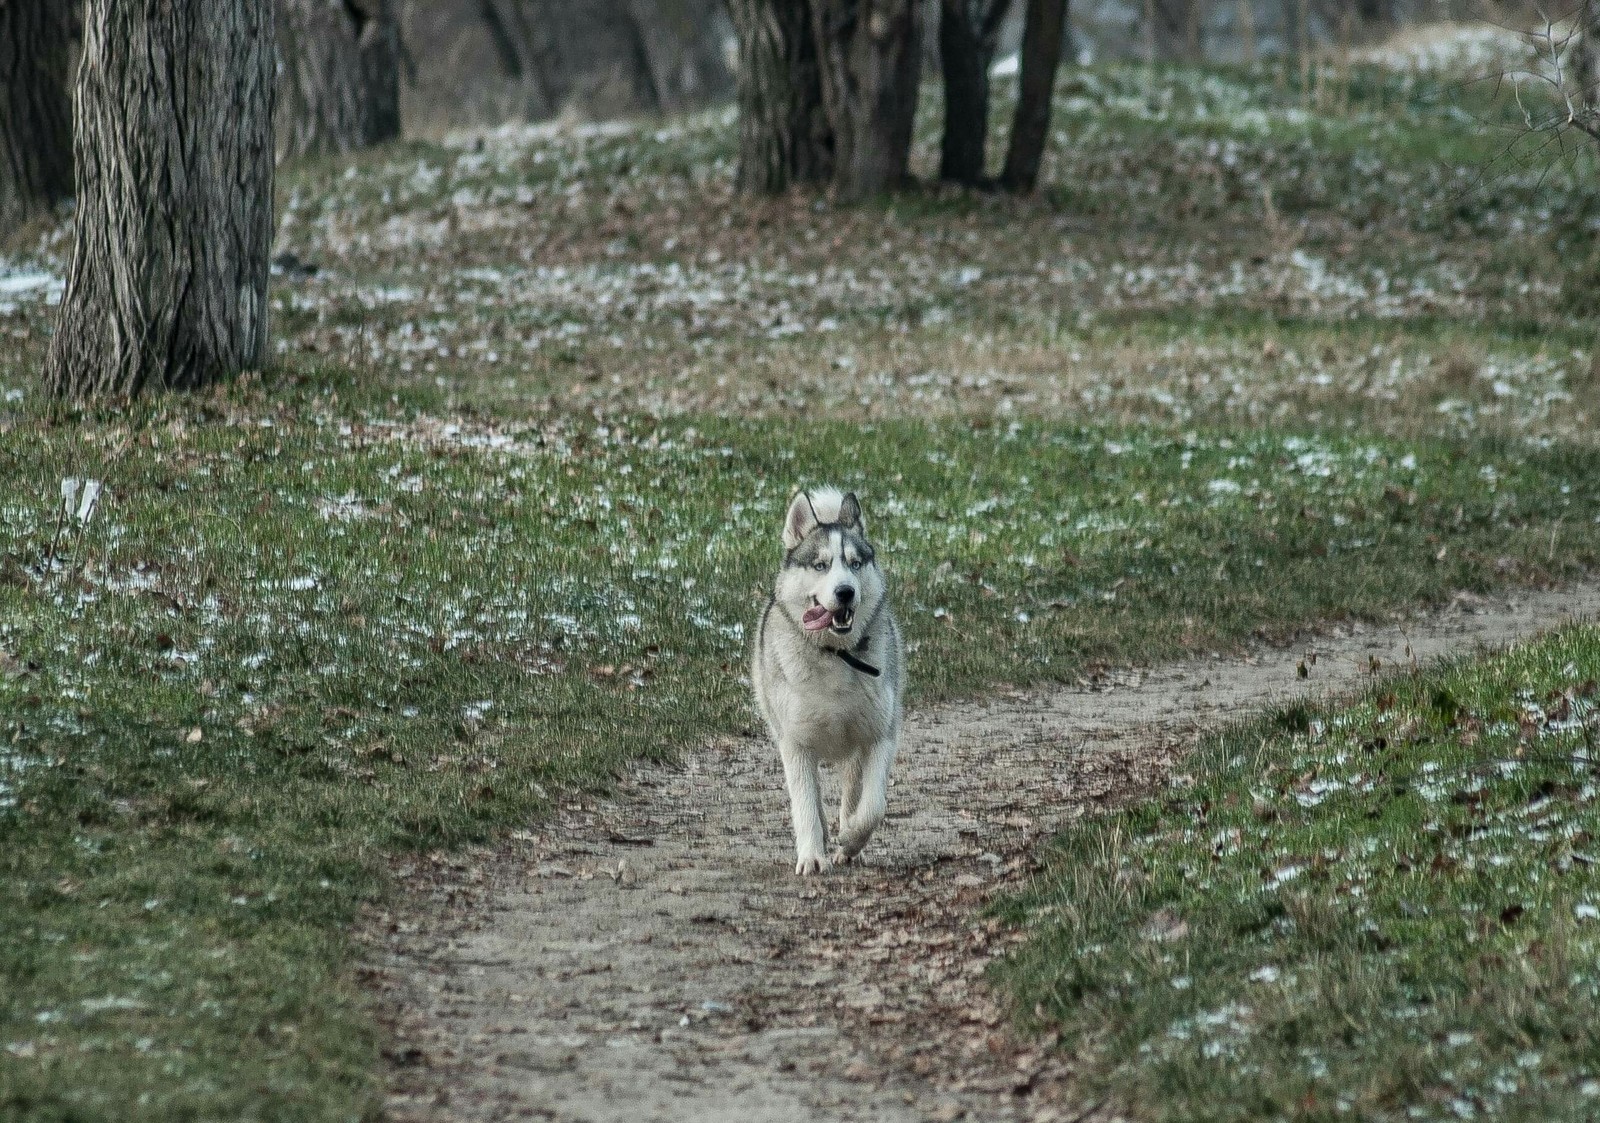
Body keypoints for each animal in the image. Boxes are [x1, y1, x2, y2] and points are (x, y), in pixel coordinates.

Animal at [748, 489, 902, 883]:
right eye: (820, 565)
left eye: (854, 564)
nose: (845, 592)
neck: (836, 655)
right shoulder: (795, 743)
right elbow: (804, 802)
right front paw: (812, 855)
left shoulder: (879, 735)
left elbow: (874, 804)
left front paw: (851, 838)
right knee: (814, 797)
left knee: (853, 787)